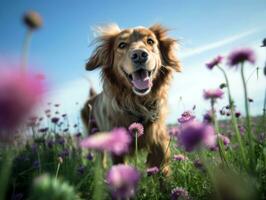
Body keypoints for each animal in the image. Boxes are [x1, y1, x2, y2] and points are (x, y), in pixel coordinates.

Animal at [81, 23, 181, 175]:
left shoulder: (159, 142)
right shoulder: (116, 150)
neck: (137, 105)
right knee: (100, 159)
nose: (139, 55)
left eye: (150, 41)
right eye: (122, 45)